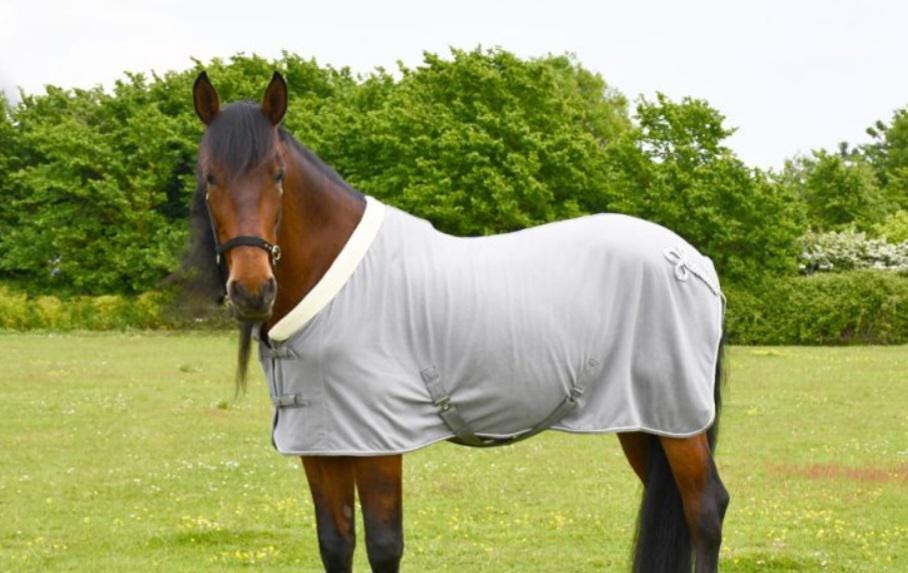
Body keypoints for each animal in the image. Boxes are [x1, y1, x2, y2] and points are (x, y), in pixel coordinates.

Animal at [186, 71, 730, 573]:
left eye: (277, 174)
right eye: (210, 178)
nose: (252, 290)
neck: (337, 283)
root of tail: (692, 260)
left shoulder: (378, 441)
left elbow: (384, 545)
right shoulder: (323, 443)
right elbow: (336, 544)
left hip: (679, 420)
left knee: (704, 508)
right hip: (643, 420)